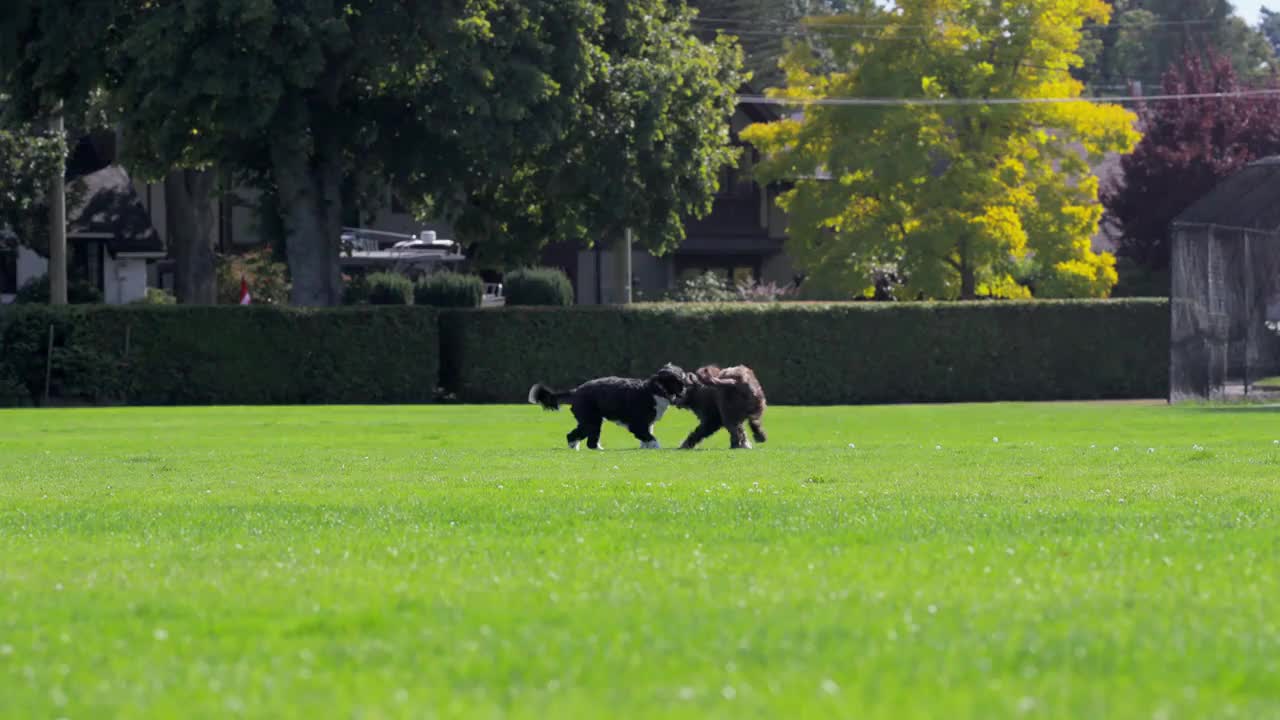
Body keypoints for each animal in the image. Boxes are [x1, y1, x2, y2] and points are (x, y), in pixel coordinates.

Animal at [529, 363, 691, 448]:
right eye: (679, 380)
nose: (687, 388)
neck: (655, 389)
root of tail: (576, 391)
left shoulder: (647, 424)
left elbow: (647, 437)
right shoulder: (638, 424)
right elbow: (650, 438)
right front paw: (656, 447)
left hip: (591, 421)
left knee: (580, 437)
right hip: (591, 420)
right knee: (583, 439)